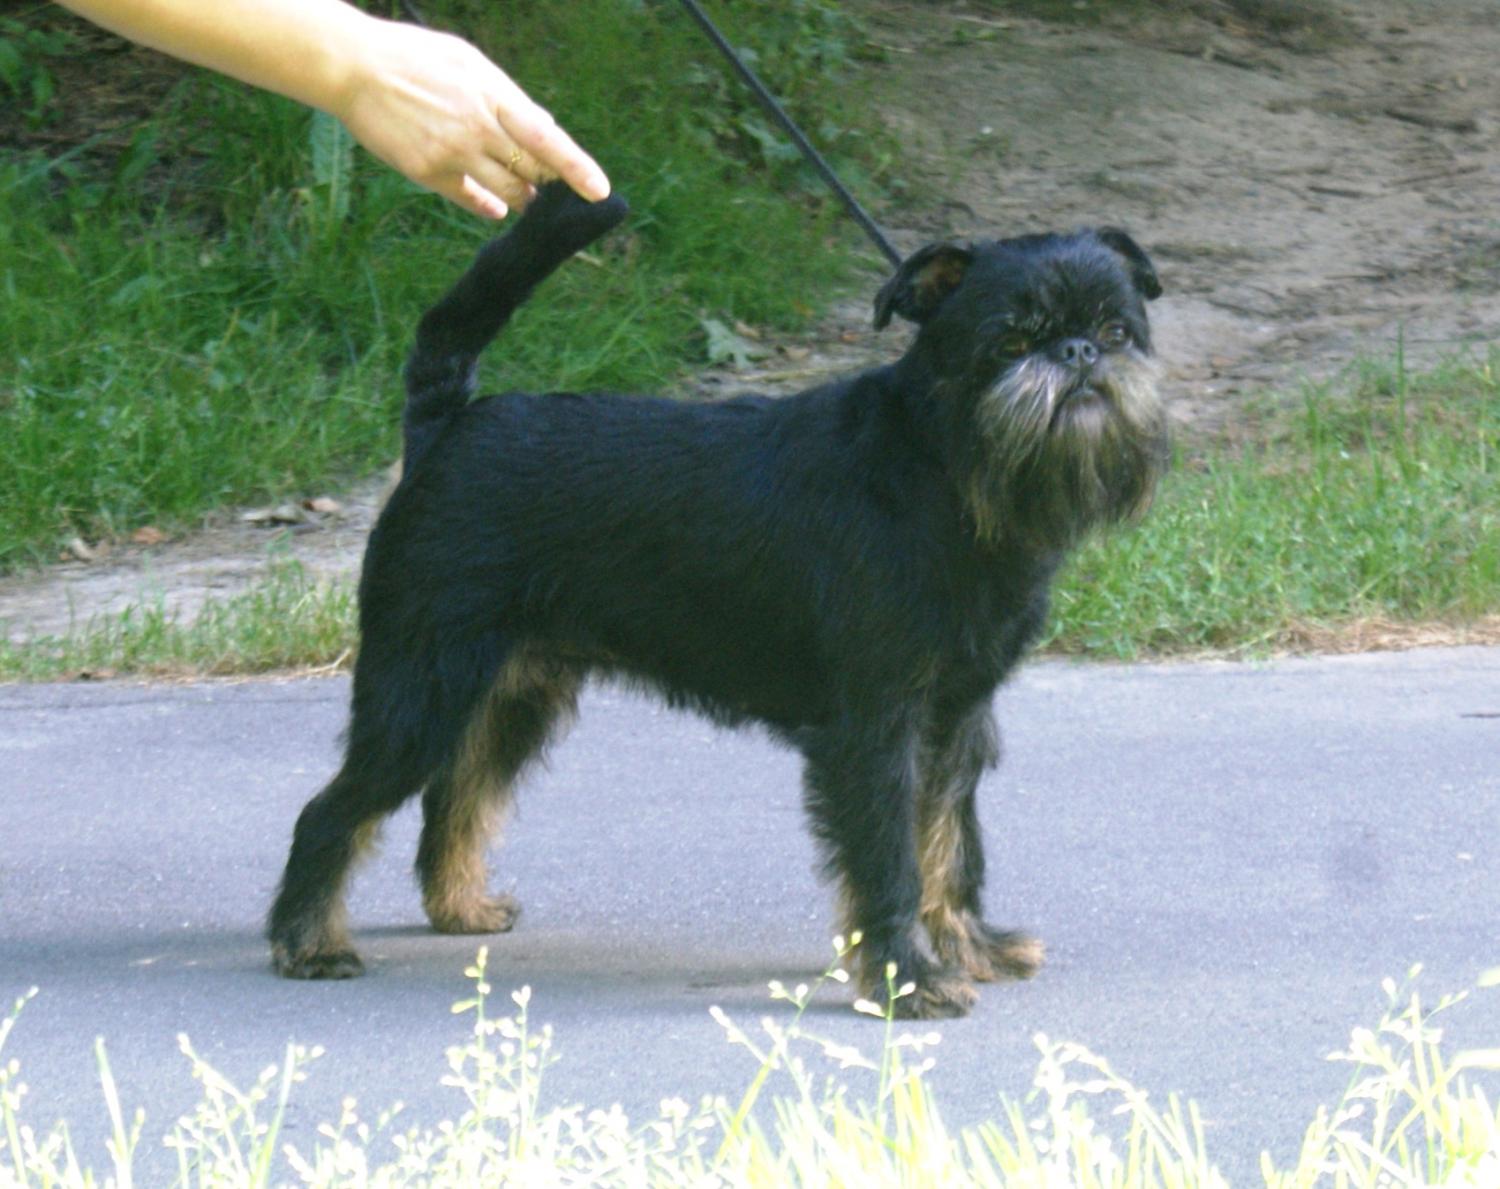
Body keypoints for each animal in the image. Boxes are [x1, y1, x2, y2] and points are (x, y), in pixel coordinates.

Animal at [268, 182, 1168, 1018]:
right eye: (1011, 340)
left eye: (1118, 330)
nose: (1078, 351)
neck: (942, 467)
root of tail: (448, 425)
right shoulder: (878, 727)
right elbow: (891, 857)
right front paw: (904, 979)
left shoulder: (957, 719)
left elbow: (952, 843)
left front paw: (968, 945)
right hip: (421, 689)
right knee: (333, 809)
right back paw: (308, 941)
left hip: (516, 689)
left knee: (457, 793)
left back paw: (457, 904)